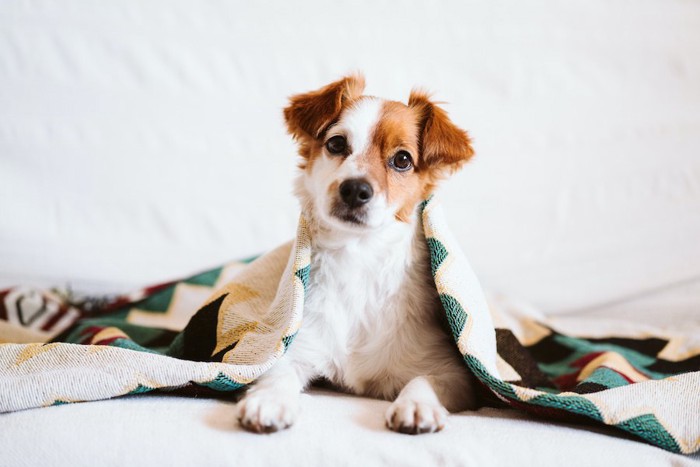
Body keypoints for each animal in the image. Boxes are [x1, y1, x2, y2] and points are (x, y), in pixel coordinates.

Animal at [235, 73, 476, 436]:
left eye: (402, 160)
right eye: (336, 144)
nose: (355, 189)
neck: (359, 257)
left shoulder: (454, 371)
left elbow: (424, 380)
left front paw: (416, 405)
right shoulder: (294, 344)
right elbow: (276, 371)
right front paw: (269, 400)